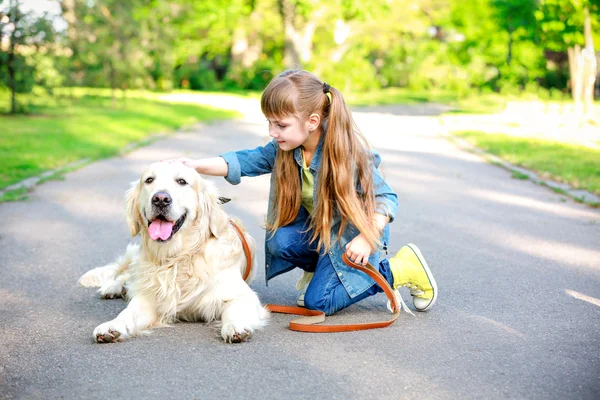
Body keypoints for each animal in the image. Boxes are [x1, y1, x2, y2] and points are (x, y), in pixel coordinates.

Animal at [78, 161, 268, 342]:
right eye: (149, 180)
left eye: (182, 181)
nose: (160, 199)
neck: (177, 258)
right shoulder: (148, 298)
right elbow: (127, 313)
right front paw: (112, 326)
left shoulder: (241, 295)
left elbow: (235, 311)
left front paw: (235, 326)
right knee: (127, 277)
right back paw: (113, 288)